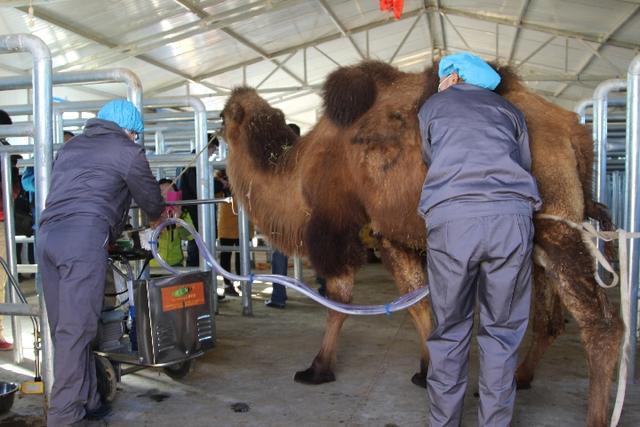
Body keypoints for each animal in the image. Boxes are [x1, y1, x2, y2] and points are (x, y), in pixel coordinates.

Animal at [221, 61, 624, 427]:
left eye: (223, 116)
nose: (214, 135)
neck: (297, 169)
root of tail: (573, 132)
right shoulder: (390, 234)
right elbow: (421, 304)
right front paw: (425, 371)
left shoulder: (341, 230)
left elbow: (340, 302)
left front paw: (318, 369)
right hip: (540, 239)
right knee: (549, 320)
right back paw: (520, 378)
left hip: (557, 227)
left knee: (601, 323)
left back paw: (596, 416)